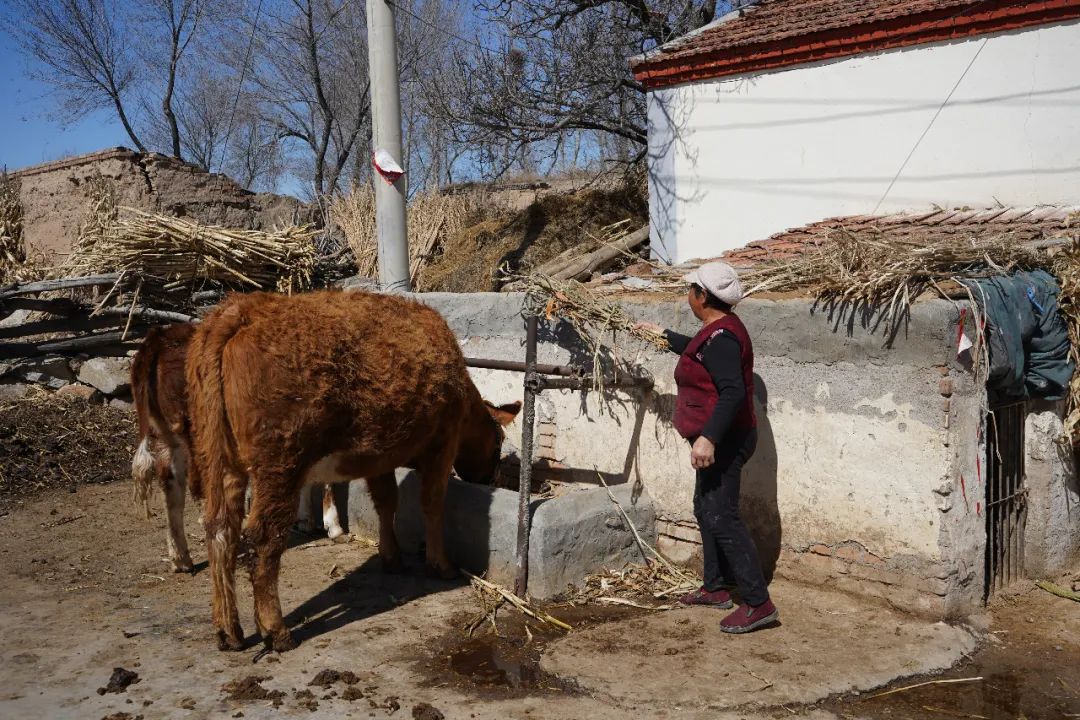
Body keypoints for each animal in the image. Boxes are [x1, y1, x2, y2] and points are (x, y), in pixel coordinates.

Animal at [186, 291, 518, 651]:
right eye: (498, 442)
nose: (488, 478)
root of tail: (241, 309)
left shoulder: (380, 456)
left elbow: (386, 503)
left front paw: (391, 557)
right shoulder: (442, 445)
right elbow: (431, 504)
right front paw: (440, 564)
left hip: (223, 462)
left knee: (220, 529)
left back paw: (229, 631)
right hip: (280, 464)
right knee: (263, 537)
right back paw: (276, 631)